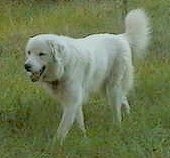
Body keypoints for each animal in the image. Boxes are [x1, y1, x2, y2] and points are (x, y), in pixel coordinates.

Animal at [24, 8, 150, 144]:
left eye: (41, 54)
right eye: (29, 52)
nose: (26, 66)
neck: (64, 65)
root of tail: (121, 37)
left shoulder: (71, 101)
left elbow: (62, 129)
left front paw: (55, 144)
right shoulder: (74, 100)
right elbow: (79, 121)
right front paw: (83, 136)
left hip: (112, 88)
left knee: (117, 110)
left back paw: (117, 127)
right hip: (106, 89)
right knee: (123, 99)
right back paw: (128, 117)